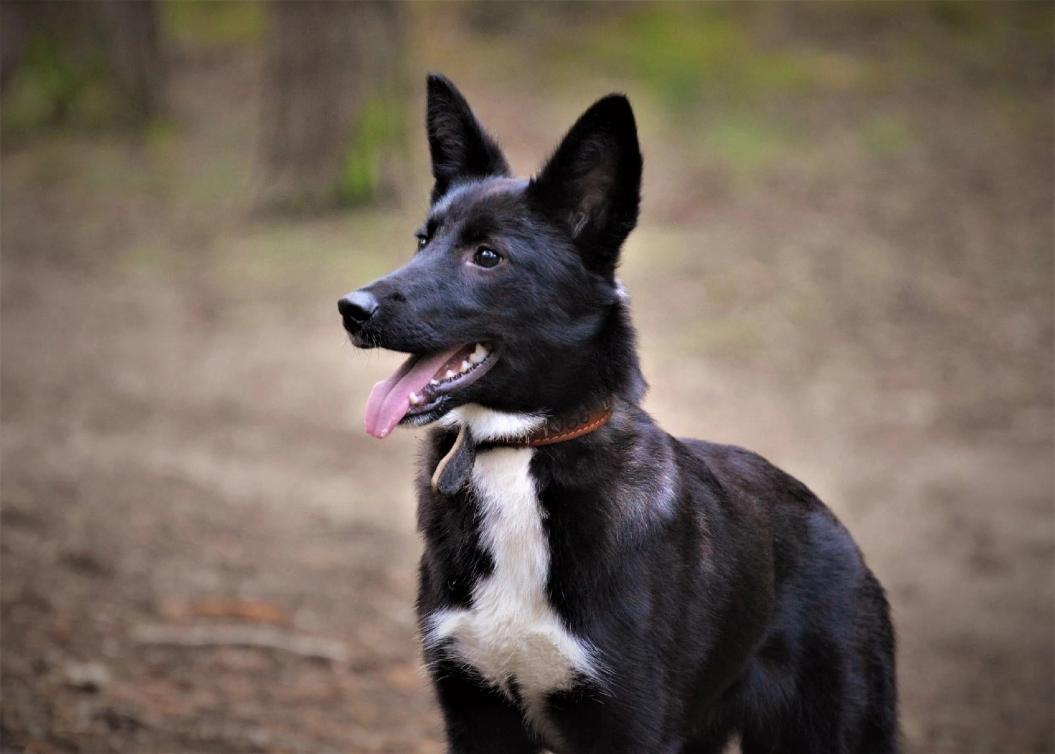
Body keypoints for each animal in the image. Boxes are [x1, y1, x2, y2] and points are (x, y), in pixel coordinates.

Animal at [339, 75, 898, 754]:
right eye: (423, 241)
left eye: (488, 257)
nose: (351, 309)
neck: (521, 453)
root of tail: (830, 521)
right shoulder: (476, 715)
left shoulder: (630, 724)